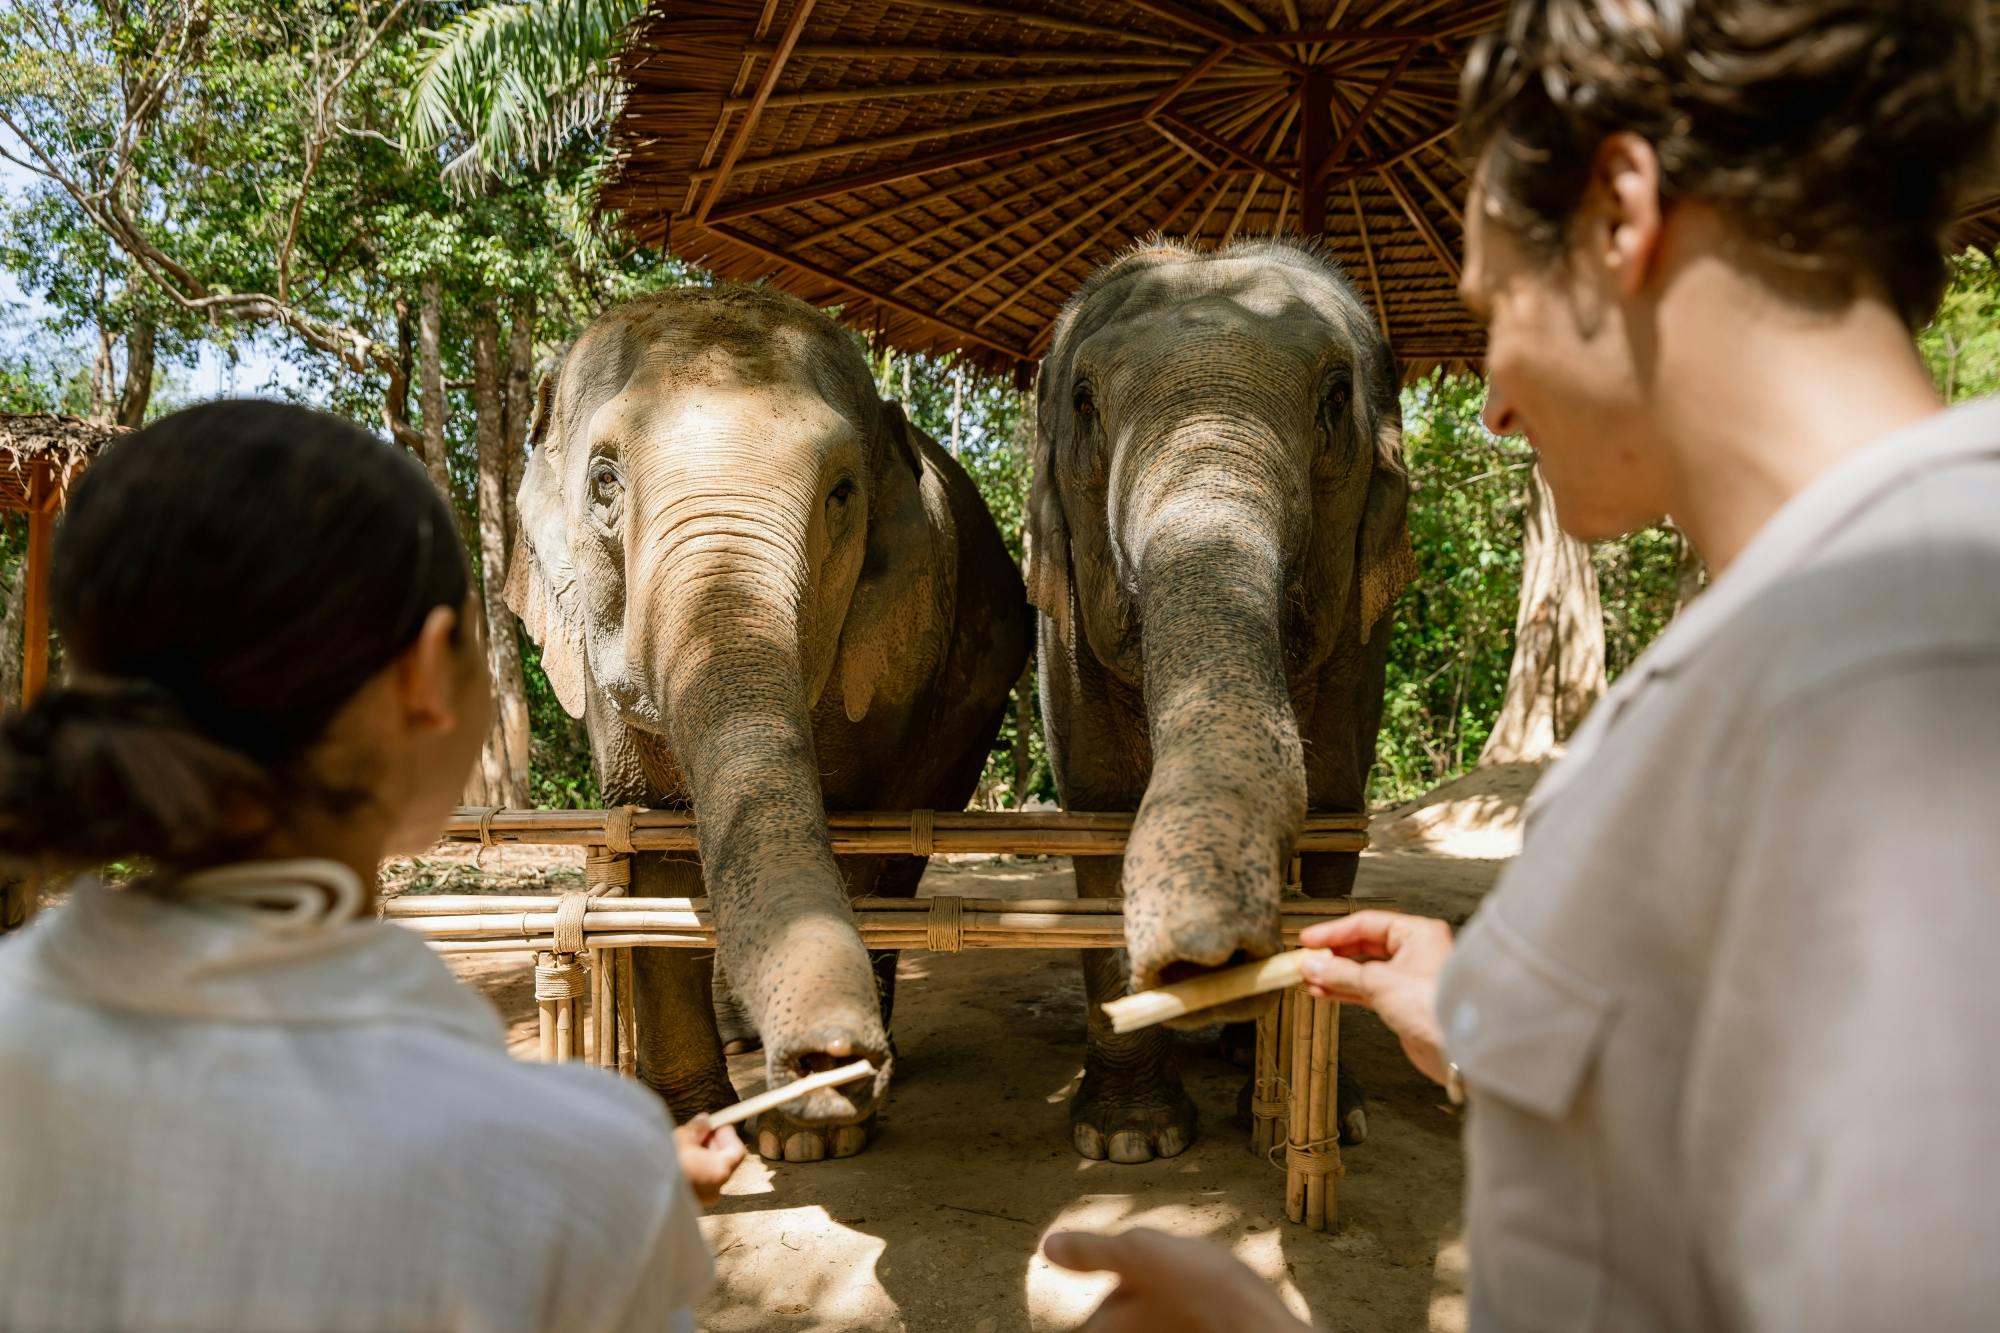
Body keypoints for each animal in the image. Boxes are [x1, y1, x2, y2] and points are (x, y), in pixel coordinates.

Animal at [507, 284, 1032, 1161]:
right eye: (605, 482)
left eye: (842, 492)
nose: (829, 1058)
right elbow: (653, 849)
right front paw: (688, 1117)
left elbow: (852, 834)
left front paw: (811, 1138)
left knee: (900, 860)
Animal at [1026, 238, 1415, 1163]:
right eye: (1084, 402)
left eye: (1336, 397)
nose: (1208, 958)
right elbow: (1099, 819)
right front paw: (1128, 1141)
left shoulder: (1363, 643)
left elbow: (1336, 814)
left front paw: (1339, 1121)